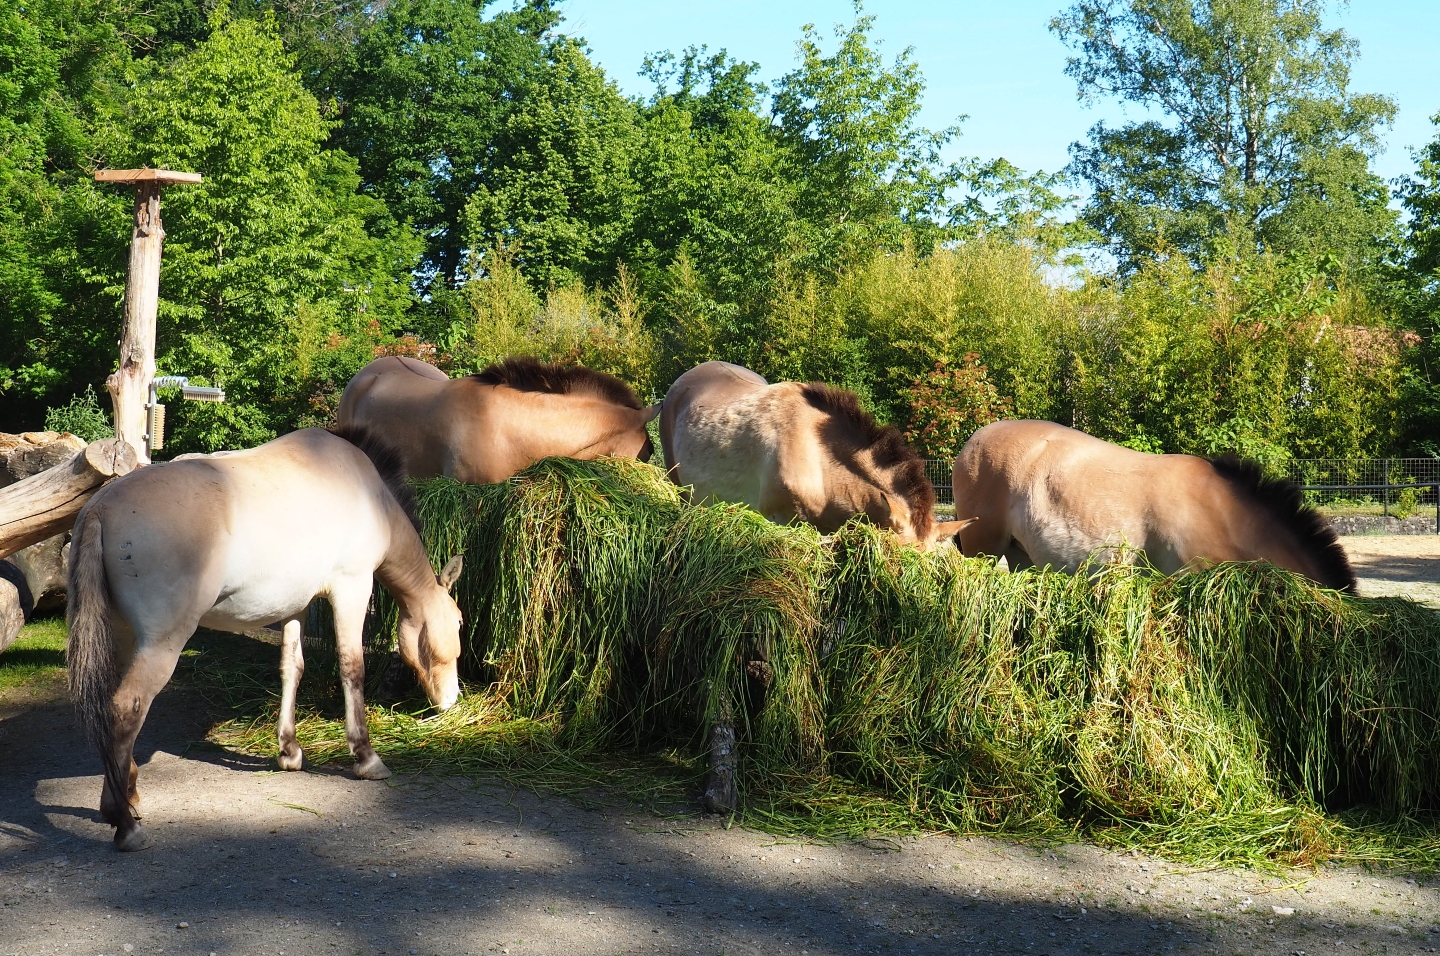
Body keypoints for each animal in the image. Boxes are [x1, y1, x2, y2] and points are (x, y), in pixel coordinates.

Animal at [66, 427, 465, 851]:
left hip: (125, 638)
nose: (451, 699)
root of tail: (101, 508)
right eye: (458, 622)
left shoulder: (296, 606)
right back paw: (126, 825)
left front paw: (289, 751)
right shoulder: (352, 589)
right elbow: (351, 668)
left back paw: (123, 800)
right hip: (161, 644)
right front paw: (366, 757)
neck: (369, 494)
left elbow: (292, 669)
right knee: (127, 707)